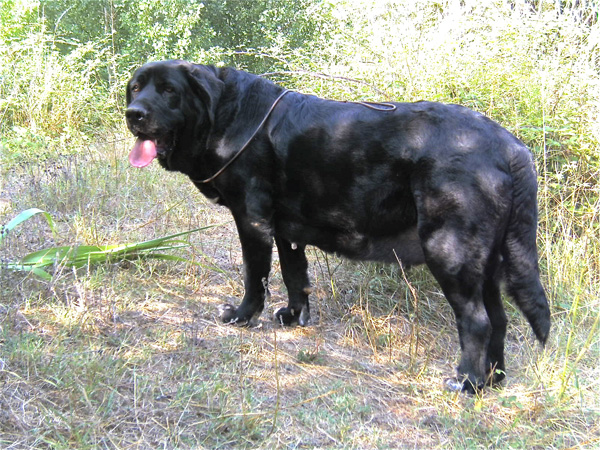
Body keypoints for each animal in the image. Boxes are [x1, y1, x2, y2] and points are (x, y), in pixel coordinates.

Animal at [125, 59, 548, 390]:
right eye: (136, 88)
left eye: (169, 90)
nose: (134, 113)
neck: (227, 116)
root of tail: (510, 146)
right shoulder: (286, 230)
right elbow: (295, 276)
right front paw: (293, 317)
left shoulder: (252, 220)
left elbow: (255, 276)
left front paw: (243, 317)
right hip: (487, 263)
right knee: (499, 320)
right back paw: (493, 380)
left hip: (450, 251)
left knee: (476, 322)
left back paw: (467, 383)